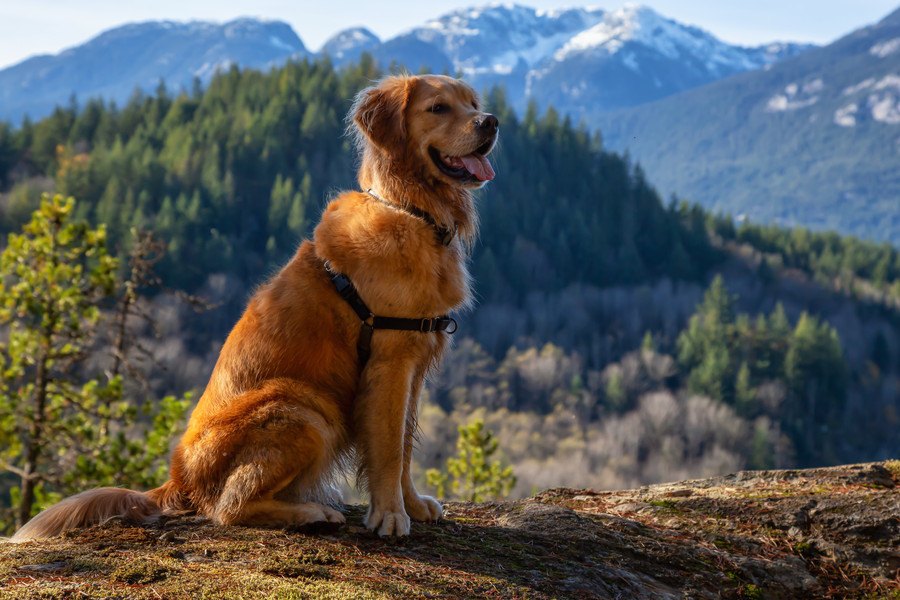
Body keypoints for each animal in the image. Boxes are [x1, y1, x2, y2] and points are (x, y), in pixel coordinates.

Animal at [8, 72, 500, 540]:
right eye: (438, 108)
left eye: (472, 104)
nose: (491, 121)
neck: (411, 211)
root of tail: (179, 480)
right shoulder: (390, 360)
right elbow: (389, 449)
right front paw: (390, 516)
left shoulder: (414, 363)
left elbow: (407, 444)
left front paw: (412, 504)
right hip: (303, 406)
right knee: (229, 508)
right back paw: (312, 513)